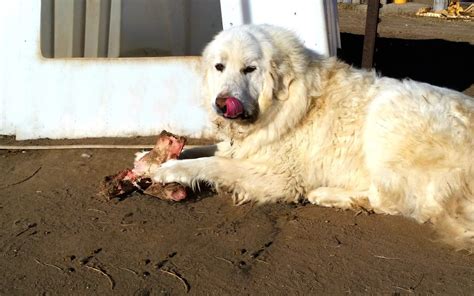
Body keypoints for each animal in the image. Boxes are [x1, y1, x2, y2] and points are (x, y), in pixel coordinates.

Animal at [153, 24, 474, 250]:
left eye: (250, 69)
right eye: (219, 67)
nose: (221, 104)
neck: (283, 103)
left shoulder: (280, 177)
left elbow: (212, 164)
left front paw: (168, 170)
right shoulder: (238, 148)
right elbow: (206, 151)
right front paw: (154, 158)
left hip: (387, 110)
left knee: (393, 202)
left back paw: (326, 194)